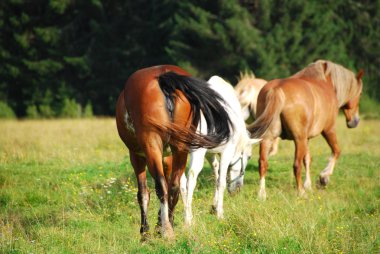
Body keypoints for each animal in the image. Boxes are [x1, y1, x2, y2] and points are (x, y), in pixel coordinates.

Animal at [116, 64, 233, 239]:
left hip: (151, 144)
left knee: (161, 186)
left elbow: (143, 193)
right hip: (180, 147)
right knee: (174, 186)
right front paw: (159, 223)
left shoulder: (136, 156)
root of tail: (164, 77)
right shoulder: (168, 157)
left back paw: (166, 230)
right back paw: (168, 224)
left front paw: (145, 232)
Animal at [180, 76, 260, 225]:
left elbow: (216, 175)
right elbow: (221, 182)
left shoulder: (210, 153)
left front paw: (214, 206)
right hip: (196, 152)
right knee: (191, 179)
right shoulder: (226, 152)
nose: (237, 189)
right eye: (249, 156)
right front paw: (220, 213)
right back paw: (188, 219)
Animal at [248, 60, 364, 199]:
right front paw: (323, 178)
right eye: (360, 93)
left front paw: (308, 185)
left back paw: (262, 194)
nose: (355, 121)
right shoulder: (328, 129)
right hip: (299, 139)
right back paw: (301, 192)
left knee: (263, 163)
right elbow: (336, 151)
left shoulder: (306, 138)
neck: (325, 82)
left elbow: (307, 159)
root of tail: (277, 89)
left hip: (268, 138)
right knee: (296, 165)